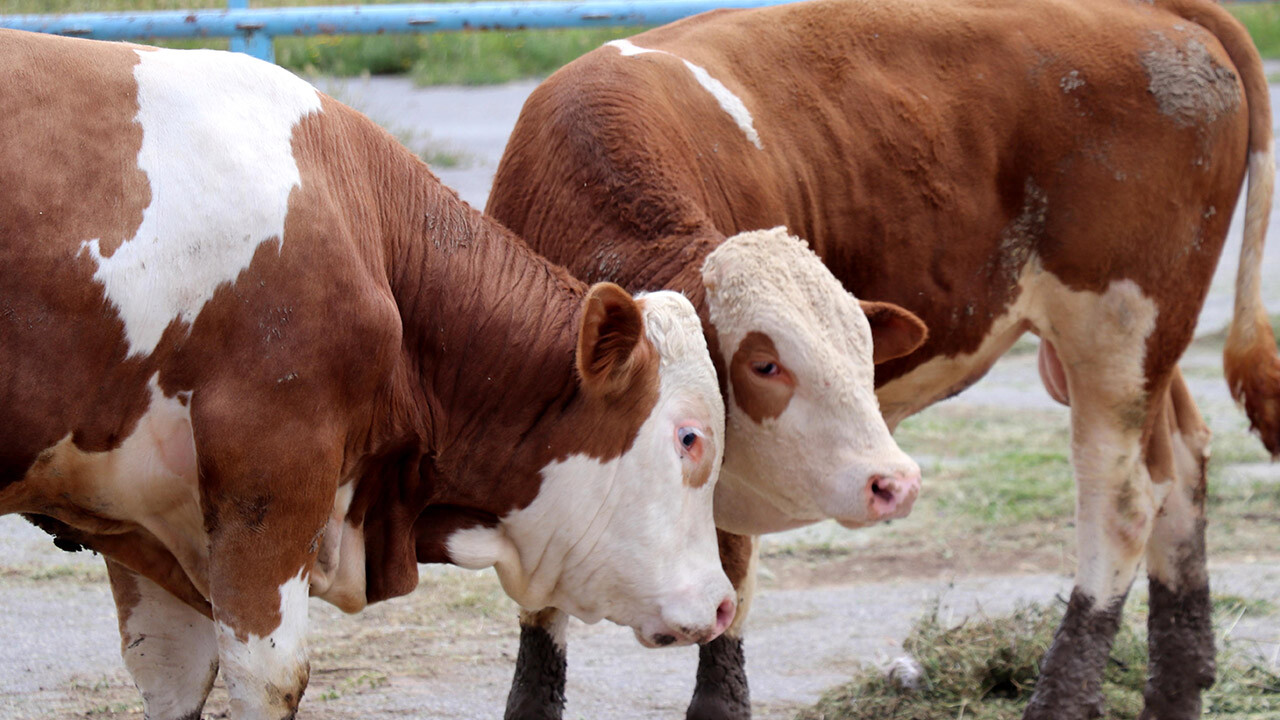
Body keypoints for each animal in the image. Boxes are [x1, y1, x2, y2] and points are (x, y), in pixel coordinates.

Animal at [0, 32, 742, 717]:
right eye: (691, 439)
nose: (723, 604)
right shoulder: (272, 476)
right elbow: (270, 675)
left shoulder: (139, 509)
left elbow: (171, 667)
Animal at [483, 1, 1280, 717]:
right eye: (764, 365)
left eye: (864, 355)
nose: (893, 482)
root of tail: (1151, 13)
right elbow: (540, 635)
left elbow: (726, 601)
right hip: (1142, 347)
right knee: (1181, 460)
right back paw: (1178, 686)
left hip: (1115, 335)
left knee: (1122, 502)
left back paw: (1063, 696)